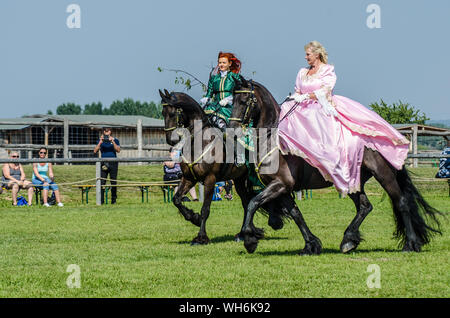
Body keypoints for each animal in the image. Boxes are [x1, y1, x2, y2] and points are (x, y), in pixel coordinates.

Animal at [229, 78, 442, 255]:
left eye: (244, 101)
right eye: (232, 100)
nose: (231, 130)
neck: (271, 138)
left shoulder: (281, 184)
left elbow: (253, 202)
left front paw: (249, 240)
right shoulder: (282, 188)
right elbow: (296, 214)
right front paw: (311, 245)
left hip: (383, 174)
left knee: (402, 203)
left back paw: (411, 244)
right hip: (353, 182)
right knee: (365, 206)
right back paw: (349, 240)